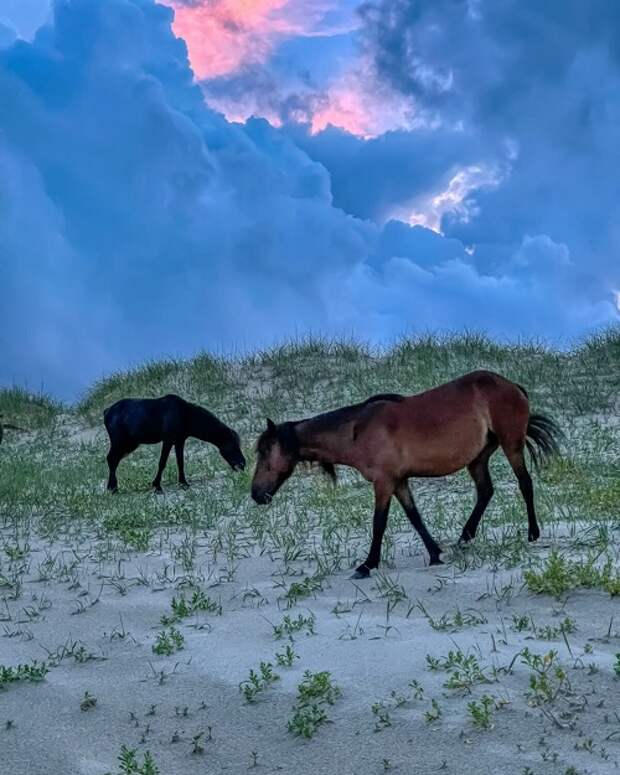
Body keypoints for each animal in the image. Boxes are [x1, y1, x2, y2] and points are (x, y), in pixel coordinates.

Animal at [103, 398, 245, 494]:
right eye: (233, 446)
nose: (242, 464)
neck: (186, 414)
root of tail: (107, 411)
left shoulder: (179, 441)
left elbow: (180, 462)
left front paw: (183, 483)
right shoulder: (168, 440)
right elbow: (162, 463)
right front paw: (157, 486)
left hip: (130, 444)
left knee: (114, 460)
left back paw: (113, 487)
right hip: (119, 442)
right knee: (111, 459)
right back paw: (112, 488)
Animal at [252, 370, 560, 576]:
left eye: (265, 453)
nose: (256, 494)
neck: (357, 430)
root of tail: (512, 386)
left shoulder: (384, 482)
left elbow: (379, 523)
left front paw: (367, 565)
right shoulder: (399, 481)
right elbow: (415, 517)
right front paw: (435, 553)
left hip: (511, 445)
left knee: (524, 483)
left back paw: (532, 533)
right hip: (478, 458)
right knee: (486, 491)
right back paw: (465, 537)